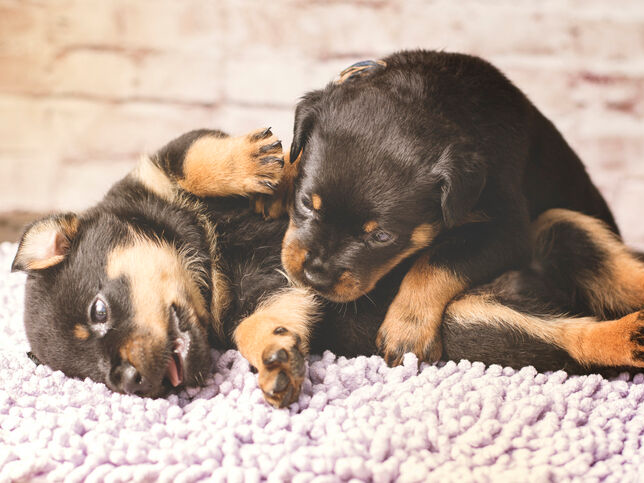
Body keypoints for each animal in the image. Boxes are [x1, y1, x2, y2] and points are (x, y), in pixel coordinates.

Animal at [280, 50, 620, 366]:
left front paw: (408, 328)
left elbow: (438, 261)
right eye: (306, 202)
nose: (314, 277)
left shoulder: (507, 231)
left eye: (382, 237)